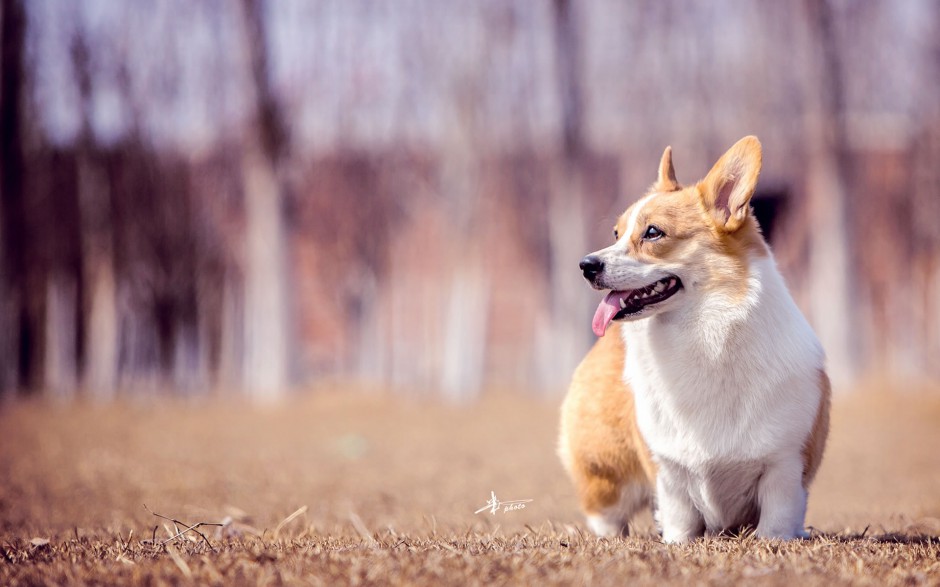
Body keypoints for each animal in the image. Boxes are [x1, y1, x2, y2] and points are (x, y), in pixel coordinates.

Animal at [560, 137, 828, 544]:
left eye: (653, 233)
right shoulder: (669, 470)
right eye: (616, 234)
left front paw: (777, 540)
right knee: (607, 516)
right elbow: (680, 517)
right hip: (607, 475)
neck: (702, 335)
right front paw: (676, 544)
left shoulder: (784, 465)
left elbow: (776, 520)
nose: (585, 266)